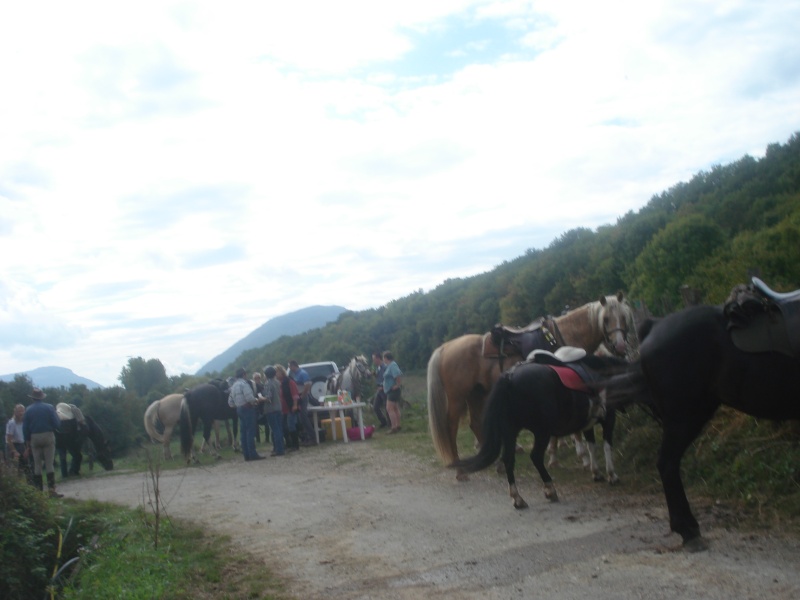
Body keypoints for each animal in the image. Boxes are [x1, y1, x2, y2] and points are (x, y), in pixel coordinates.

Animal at [424, 292, 636, 480]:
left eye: (624, 317)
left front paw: (555, 456)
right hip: (458, 398)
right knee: (451, 427)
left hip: (476, 394)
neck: (565, 336)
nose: (620, 346)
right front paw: (580, 458)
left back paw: (495, 463)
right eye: (606, 319)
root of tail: (444, 348)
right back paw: (461, 471)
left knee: (475, 423)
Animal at [446, 354, 628, 508]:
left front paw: (596, 473)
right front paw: (612, 475)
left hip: (510, 431)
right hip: (542, 432)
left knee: (508, 459)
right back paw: (550, 489)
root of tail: (509, 377)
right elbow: (606, 446)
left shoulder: (588, 424)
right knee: (535, 456)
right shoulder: (608, 419)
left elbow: (592, 447)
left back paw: (518, 498)